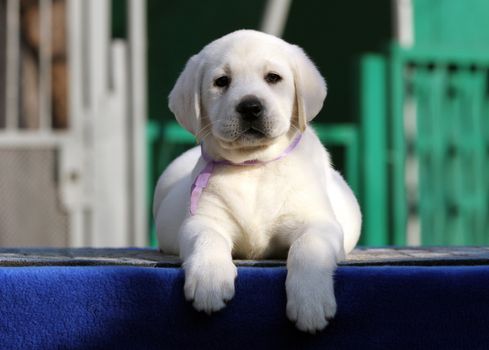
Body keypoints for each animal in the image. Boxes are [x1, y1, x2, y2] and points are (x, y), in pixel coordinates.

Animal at [153, 29, 362, 330]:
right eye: (222, 81)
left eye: (273, 77)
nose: (250, 107)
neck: (254, 165)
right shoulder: (203, 220)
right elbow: (207, 238)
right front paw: (209, 280)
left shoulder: (317, 223)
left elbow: (307, 248)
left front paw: (310, 301)